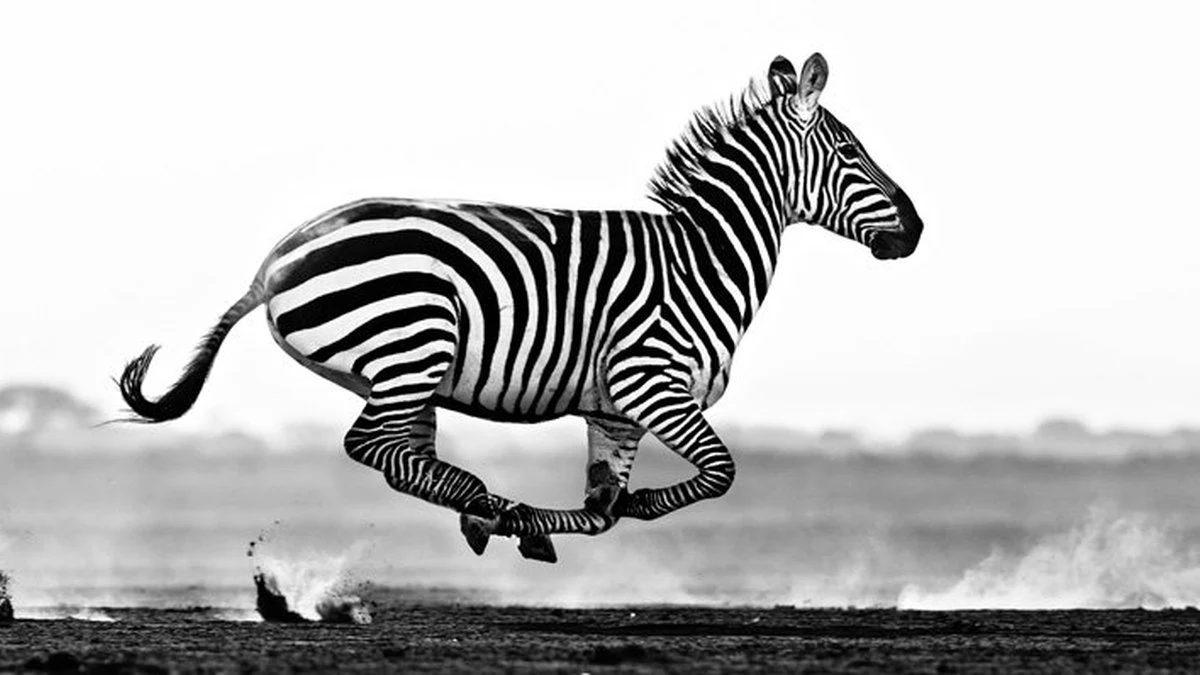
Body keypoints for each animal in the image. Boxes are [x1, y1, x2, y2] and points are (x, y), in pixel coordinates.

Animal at [118, 53, 922, 564]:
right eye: (850, 152)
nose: (916, 230)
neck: (704, 259)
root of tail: (277, 257)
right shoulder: (650, 383)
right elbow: (719, 474)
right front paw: (568, 513)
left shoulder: (614, 411)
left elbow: (603, 510)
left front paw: (556, 521)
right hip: (413, 344)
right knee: (371, 446)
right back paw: (489, 503)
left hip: (405, 373)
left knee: (399, 458)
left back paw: (493, 511)